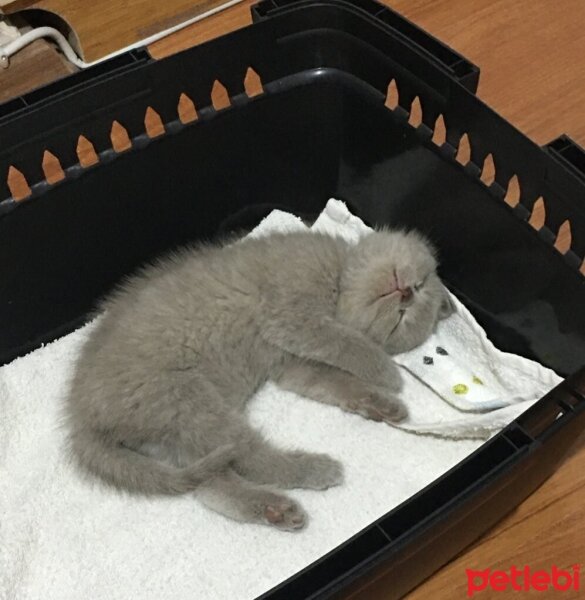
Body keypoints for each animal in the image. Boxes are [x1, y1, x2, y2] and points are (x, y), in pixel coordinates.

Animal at [66, 227, 454, 532]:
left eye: (404, 314)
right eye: (418, 286)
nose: (406, 292)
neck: (338, 282)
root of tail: (81, 420)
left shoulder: (293, 364)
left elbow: (334, 380)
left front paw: (381, 404)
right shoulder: (291, 314)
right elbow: (346, 342)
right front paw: (389, 373)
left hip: (178, 429)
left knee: (213, 485)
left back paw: (276, 509)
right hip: (189, 401)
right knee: (249, 458)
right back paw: (314, 471)